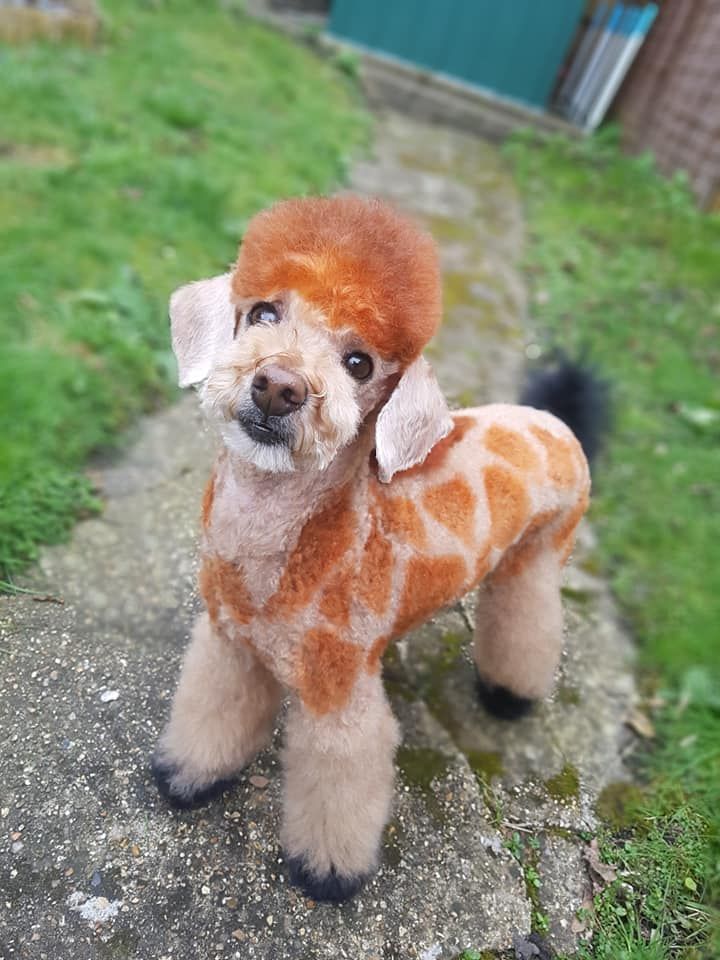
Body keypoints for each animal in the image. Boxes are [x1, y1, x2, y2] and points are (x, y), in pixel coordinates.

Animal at [152, 193, 592, 900]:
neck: (281, 547)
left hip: (538, 558)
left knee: (530, 624)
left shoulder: (339, 695)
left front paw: (327, 873)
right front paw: (190, 776)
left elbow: (339, 780)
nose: (279, 386)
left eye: (359, 363)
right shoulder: (230, 646)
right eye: (263, 311)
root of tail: (555, 421)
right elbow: (213, 711)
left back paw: (508, 695)